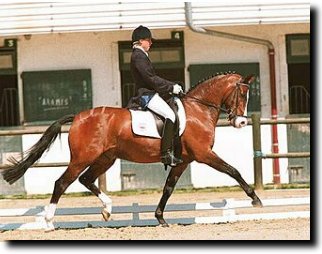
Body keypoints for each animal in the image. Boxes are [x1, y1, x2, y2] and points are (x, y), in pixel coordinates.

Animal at [1, 73, 262, 230]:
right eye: (242, 94)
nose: (241, 122)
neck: (198, 110)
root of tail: (77, 117)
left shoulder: (183, 161)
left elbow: (168, 188)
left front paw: (160, 218)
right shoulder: (204, 155)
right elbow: (233, 171)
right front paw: (255, 199)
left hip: (106, 158)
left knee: (86, 179)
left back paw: (107, 210)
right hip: (82, 158)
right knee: (62, 183)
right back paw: (49, 222)